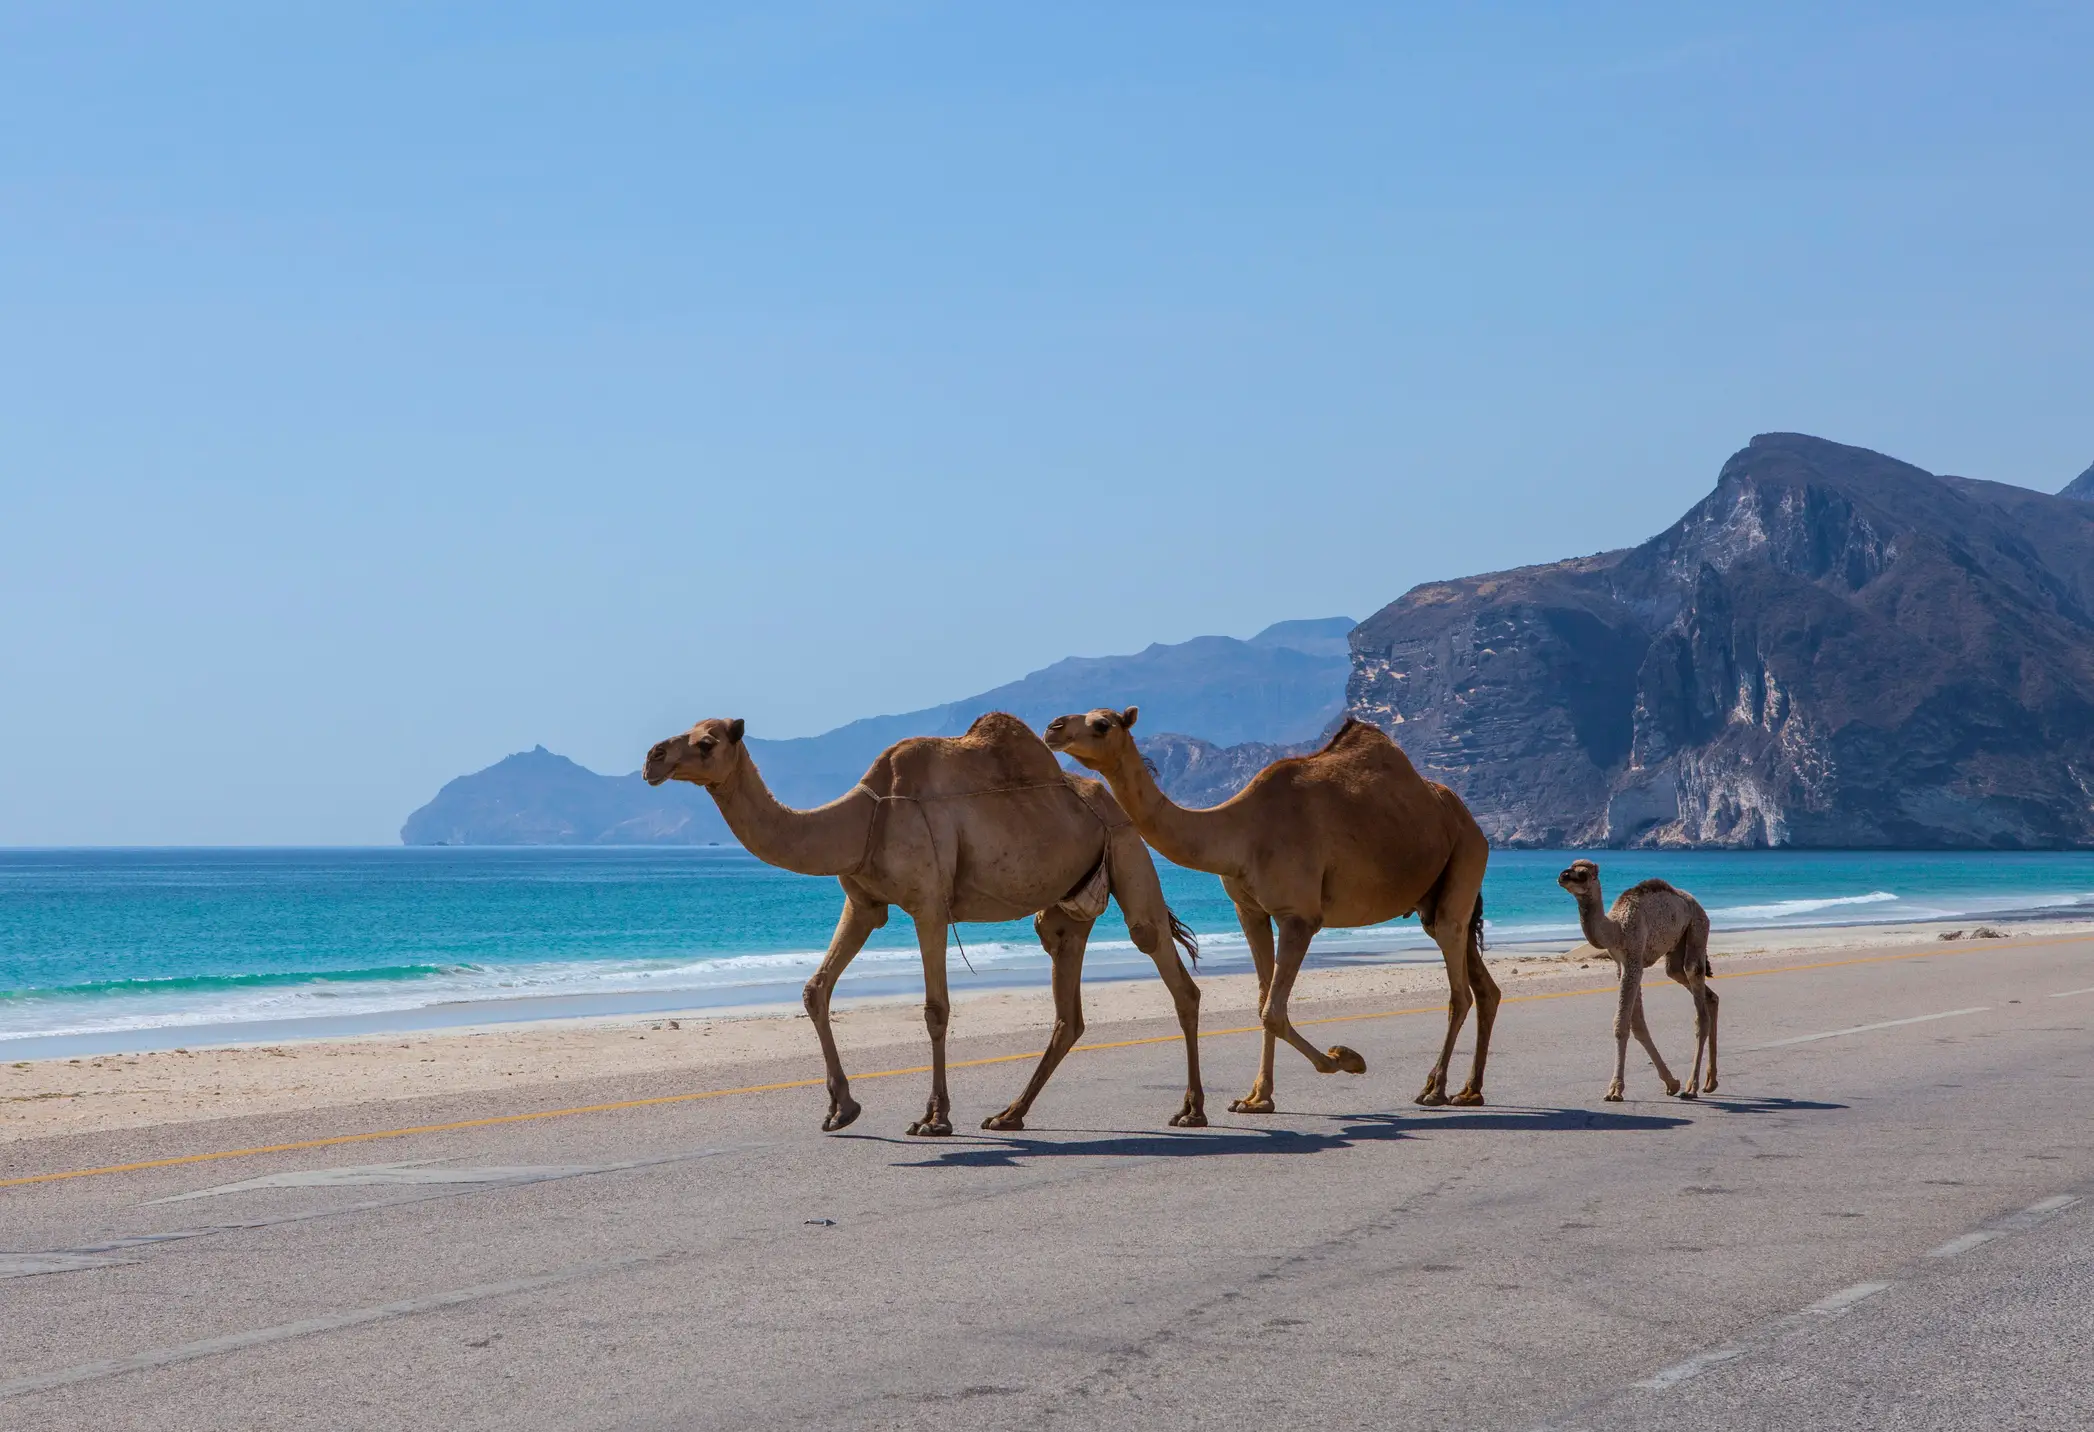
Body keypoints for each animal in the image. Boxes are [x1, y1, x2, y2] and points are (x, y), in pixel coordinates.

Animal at [636, 711, 1206, 1138]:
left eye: (706, 743)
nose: (652, 758)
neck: (861, 821)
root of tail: (1110, 796)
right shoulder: (864, 903)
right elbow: (815, 989)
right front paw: (840, 1109)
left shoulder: (930, 905)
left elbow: (935, 1009)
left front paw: (934, 1118)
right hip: (1067, 907)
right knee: (1068, 1007)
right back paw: (1009, 1114)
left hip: (1128, 847)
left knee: (1167, 964)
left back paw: (1191, 1110)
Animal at [1055, 711, 1499, 1113]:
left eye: (1101, 724)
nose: (1054, 727)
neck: (1240, 833)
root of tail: (1472, 823)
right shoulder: (1248, 911)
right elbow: (1262, 1002)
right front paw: (1256, 1099)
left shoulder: (1298, 915)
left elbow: (1273, 1010)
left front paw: (1345, 1059)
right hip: (1434, 896)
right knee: (1483, 986)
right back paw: (1470, 1090)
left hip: (1466, 857)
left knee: (1459, 989)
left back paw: (1434, 1089)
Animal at [1557, 862, 1717, 1097]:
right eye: (1570, 866)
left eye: (1583, 874)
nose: (1563, 876)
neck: (1616, 929)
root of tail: (1696, 903)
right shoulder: (1622, 964)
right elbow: (1637, 1024)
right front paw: (1671, 1082)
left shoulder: (1633, 960)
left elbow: (1621, 1023)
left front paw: (1615, 1088)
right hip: (1677, 949)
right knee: (1703, 991)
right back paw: (1710, 1082)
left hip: (1697, 928)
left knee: (1696, 991)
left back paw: (1692, 1086)